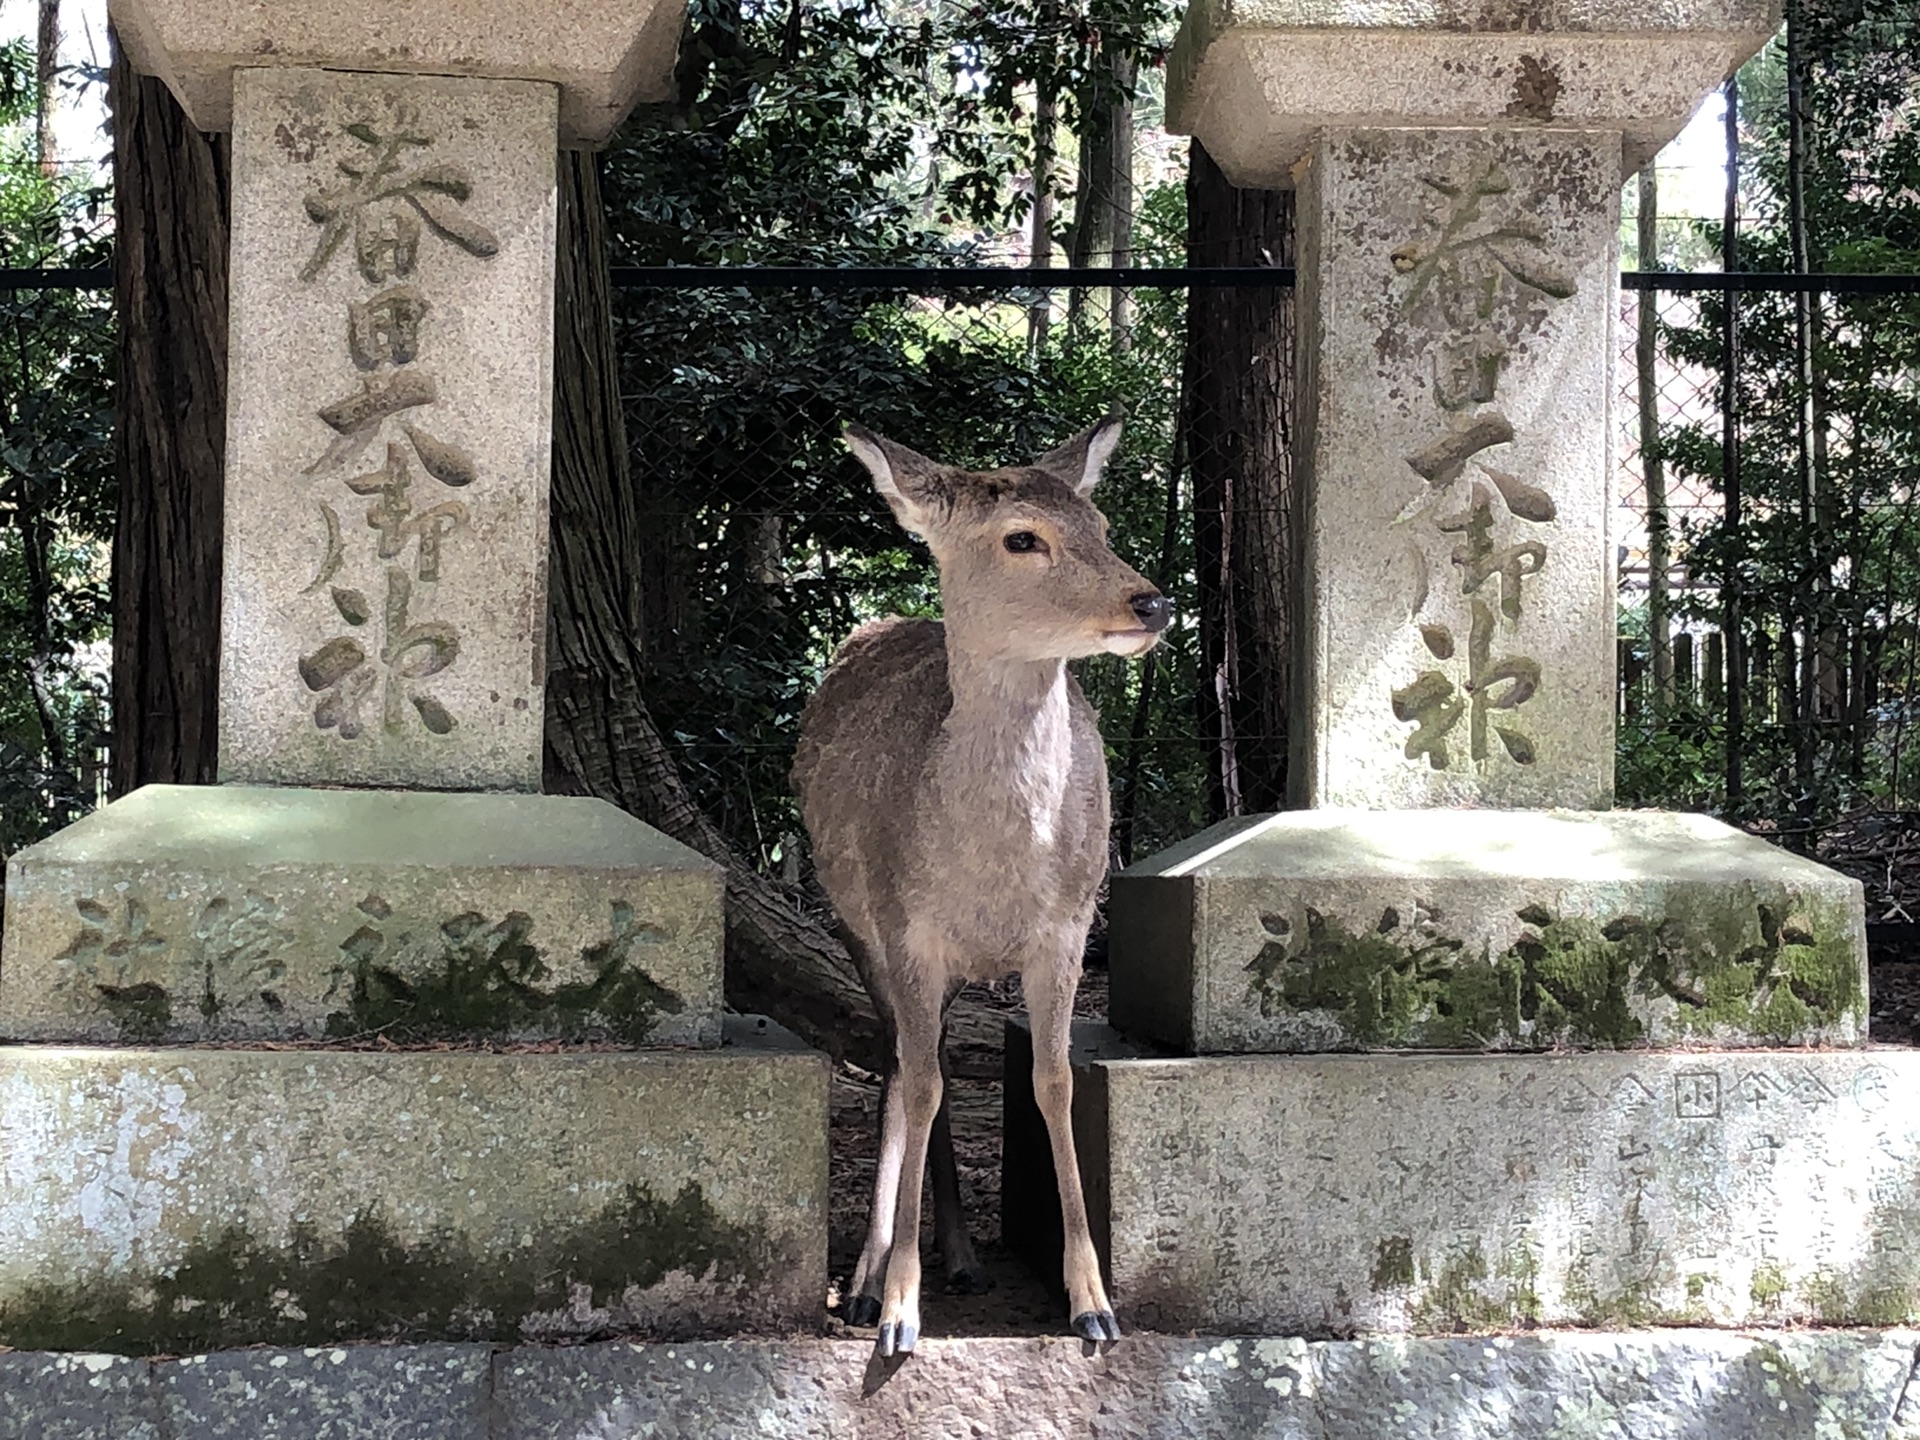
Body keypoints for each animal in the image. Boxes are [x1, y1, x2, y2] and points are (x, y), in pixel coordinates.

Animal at [783, 416, 1167, 1367]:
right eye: (1022, 538)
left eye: (1102, 523)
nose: (1151, 603)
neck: (994, 878)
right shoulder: (905, 929)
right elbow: (919, 1086)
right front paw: (897, 1312)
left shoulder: (1069, 927)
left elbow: (1052, 1080)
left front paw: (1093, 1304)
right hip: (856, 925)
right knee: (900, 1061)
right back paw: (869, 1276)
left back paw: (959, 1256)